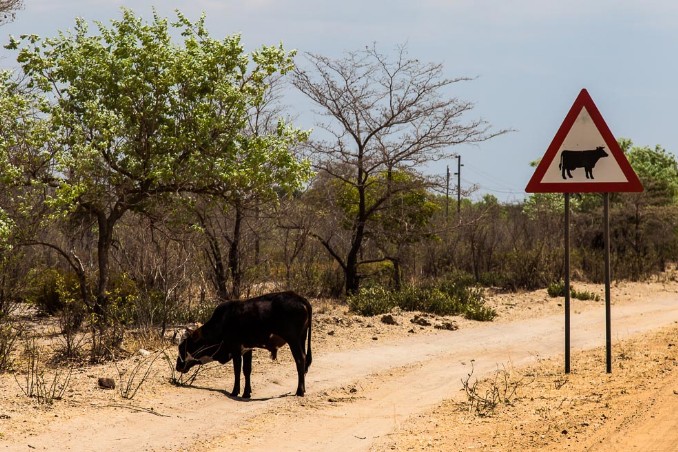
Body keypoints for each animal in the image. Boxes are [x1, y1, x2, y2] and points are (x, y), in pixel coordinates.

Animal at [175, 292, 314, 398]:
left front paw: (235, 391)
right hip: (302, 339)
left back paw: (300, 391)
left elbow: (237, 371)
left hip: (293, 340)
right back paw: (303, 389)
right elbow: (247, 370)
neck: (222, 322)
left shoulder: (235, 349)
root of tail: (300, 298)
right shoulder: (247, 349)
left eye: (183, 348)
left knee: (300, 360)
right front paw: (247, 392)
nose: (177, 366)